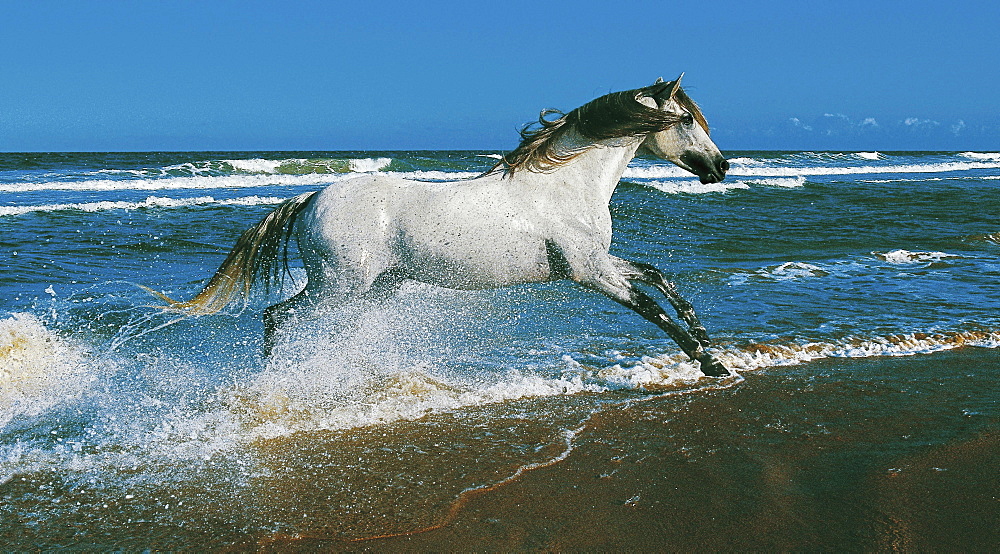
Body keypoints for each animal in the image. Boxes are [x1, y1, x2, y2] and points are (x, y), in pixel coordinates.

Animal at [158, 74, 736, 376]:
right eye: (687, 119)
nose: (721, 166)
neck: (562, 186)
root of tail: (313, 196)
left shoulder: (599, 262)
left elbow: (659, 279)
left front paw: (708, 342)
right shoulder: (588, 272)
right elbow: (649, 307)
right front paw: (709, 364)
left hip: (376, 288)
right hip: (338, 285)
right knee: (277, 316)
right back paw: (275, 378)